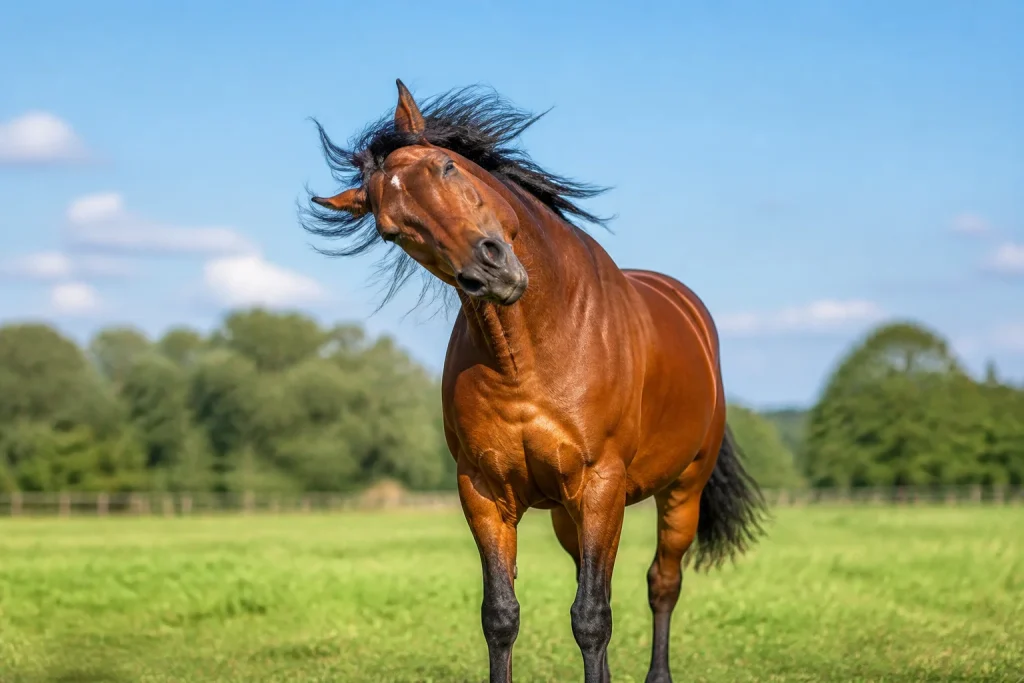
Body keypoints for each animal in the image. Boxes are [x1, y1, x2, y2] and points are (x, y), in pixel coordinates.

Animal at [303, 79, 766, 683]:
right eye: (391, 230)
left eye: (446, 166)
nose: (491, 269)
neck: (528, 358)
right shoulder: (485, 492)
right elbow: (503, 616)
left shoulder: (600, 485)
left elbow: (591, 617)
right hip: (572, 514)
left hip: (682, 489)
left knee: (662, 583)